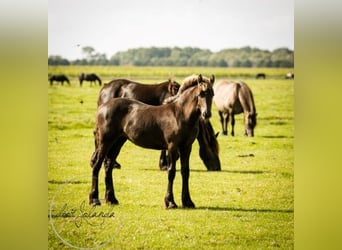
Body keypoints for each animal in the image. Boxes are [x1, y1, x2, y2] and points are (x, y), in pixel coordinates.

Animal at [89, 74, 215, 209]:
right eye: (201, 93)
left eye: (212, 94)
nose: (206, 114)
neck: (179, 115)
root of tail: (103, 107)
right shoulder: (172, 147)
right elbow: (171, 172)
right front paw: (170, 202)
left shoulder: (186, 147)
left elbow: (185, 172)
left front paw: (188, 202)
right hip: (105, 142)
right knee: (97, 165)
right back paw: (94, 199)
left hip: (118, 142)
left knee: (108, 166)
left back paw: (111, 199)